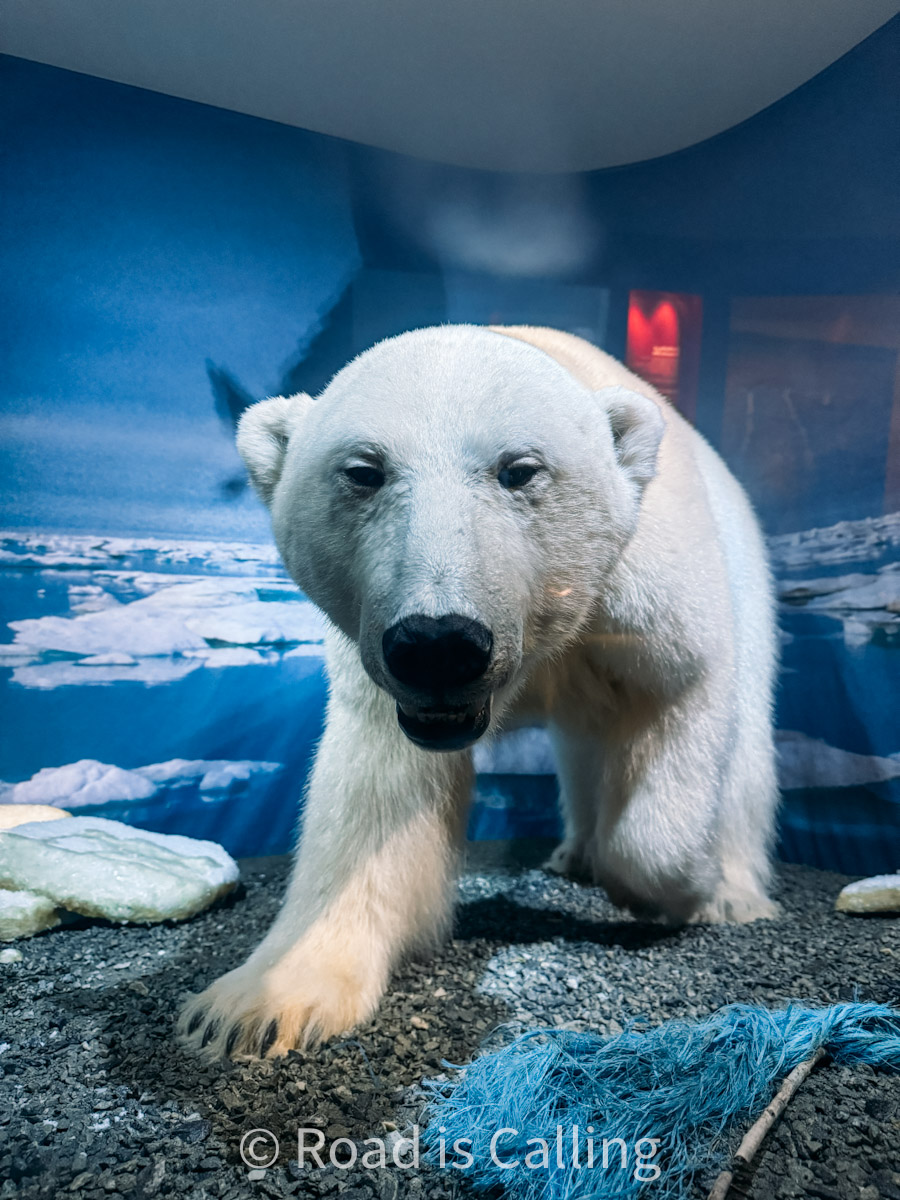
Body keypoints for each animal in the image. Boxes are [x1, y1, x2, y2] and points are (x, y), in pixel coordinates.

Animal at [178, 324, 778, 1060]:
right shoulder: (382, 673)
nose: (438, 644)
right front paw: (256, 1008)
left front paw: (681, 890)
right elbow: (375, 798)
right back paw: (574, 851)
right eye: (364, 471)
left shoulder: (644, 599)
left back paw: (734, 890)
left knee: (744, 751)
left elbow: (679, 707)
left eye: (518, 469)